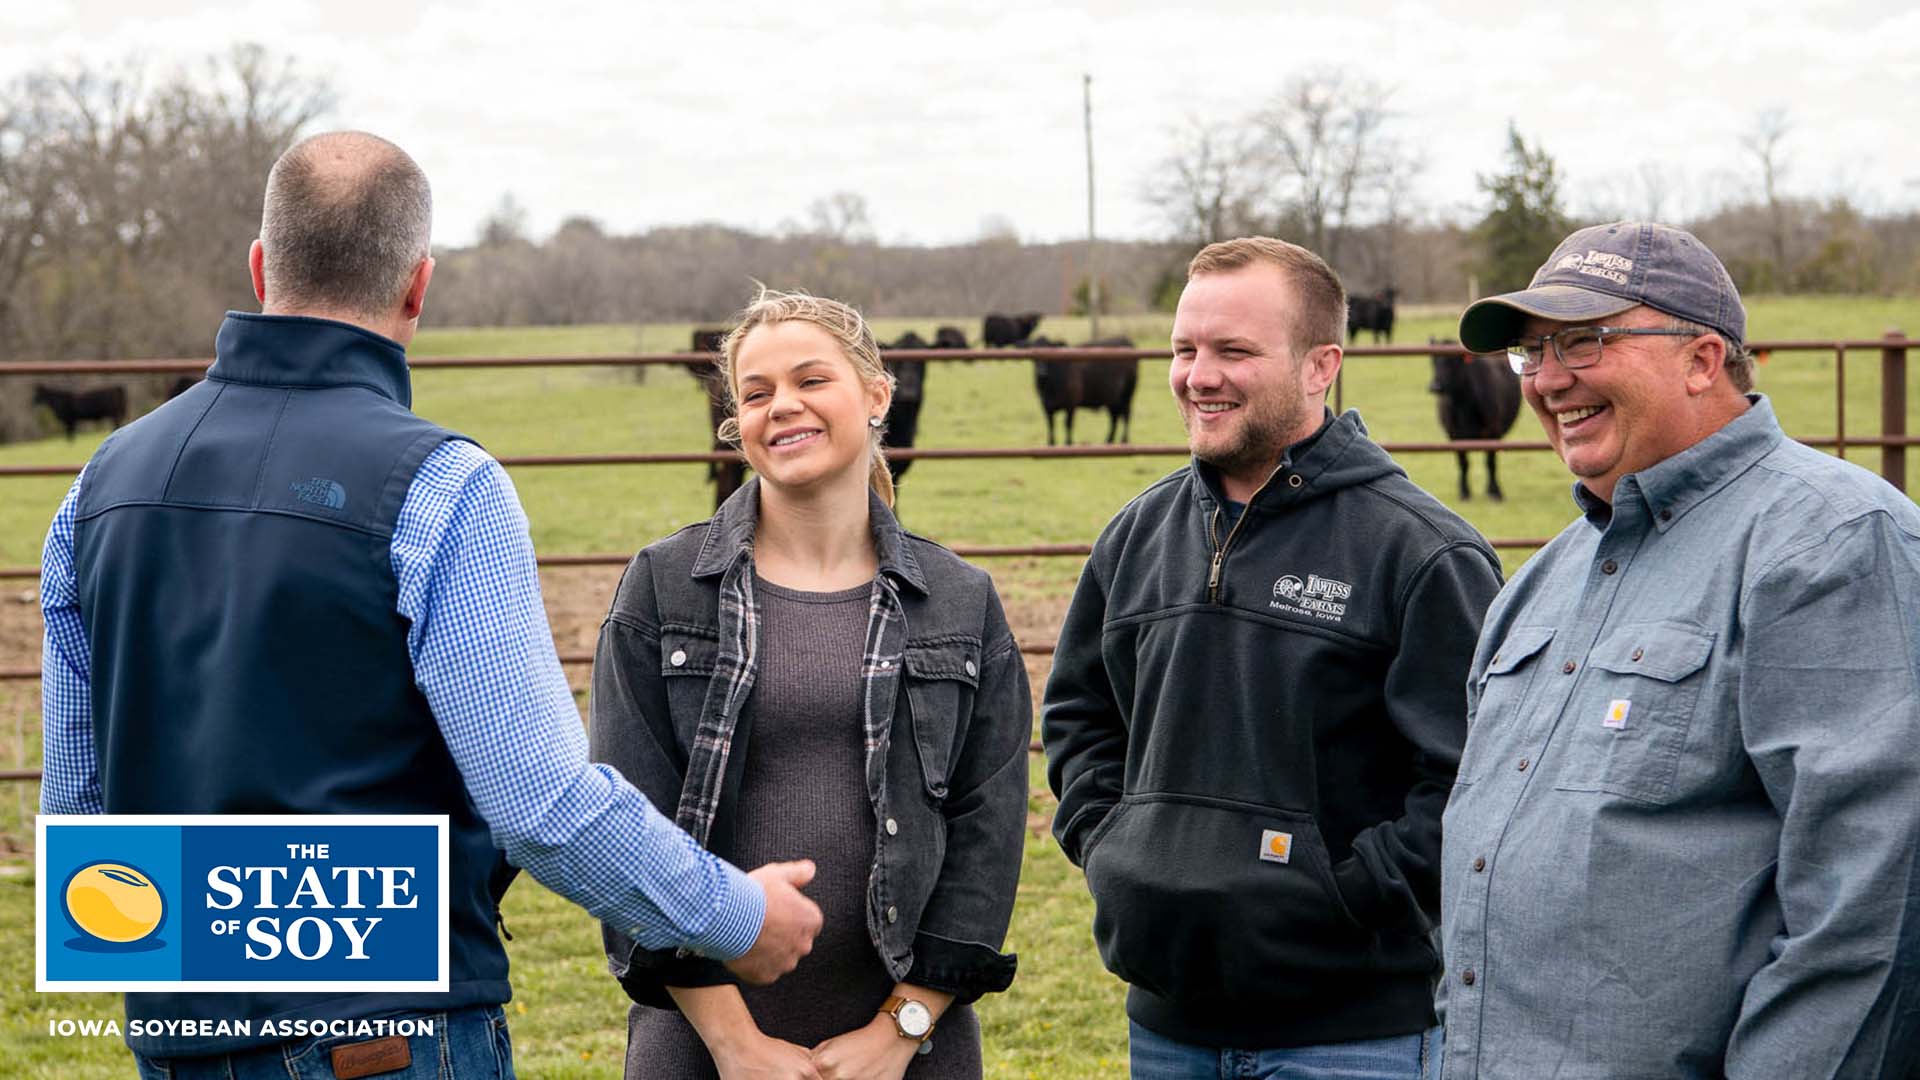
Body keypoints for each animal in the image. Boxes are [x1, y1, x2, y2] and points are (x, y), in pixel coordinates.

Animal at [1436, 334, 1520, 499]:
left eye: (1454, 361)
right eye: (1433, 360)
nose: (1435, 386)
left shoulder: (1493, 432)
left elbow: (1490, 462)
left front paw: (1495, 491)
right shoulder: (1454, 435)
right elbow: (1463, 463)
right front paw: (1464, 491)